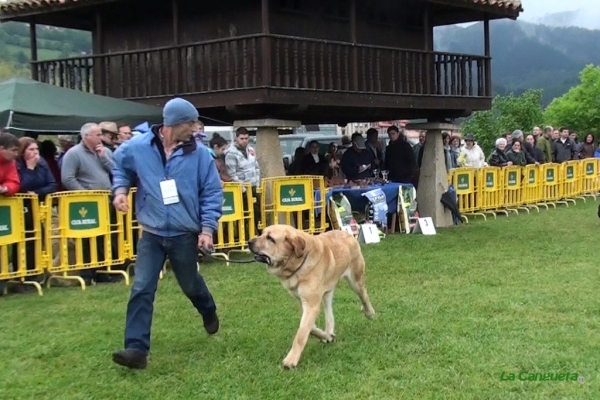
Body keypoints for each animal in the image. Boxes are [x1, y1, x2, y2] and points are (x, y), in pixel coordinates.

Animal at [248, 223, 376, 368]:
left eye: (270, 238)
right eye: (262, 233)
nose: (249, 242)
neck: (297, 262)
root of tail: (346, 233)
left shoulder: (311, 305)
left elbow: (301, 334)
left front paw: (291, 359)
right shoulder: (304, 302)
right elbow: (311, 328)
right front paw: (326, 336)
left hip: (355, 280)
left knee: (364, 295)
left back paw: (369, 313)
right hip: (327, 291)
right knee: (329, 314)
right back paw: (329, 333)